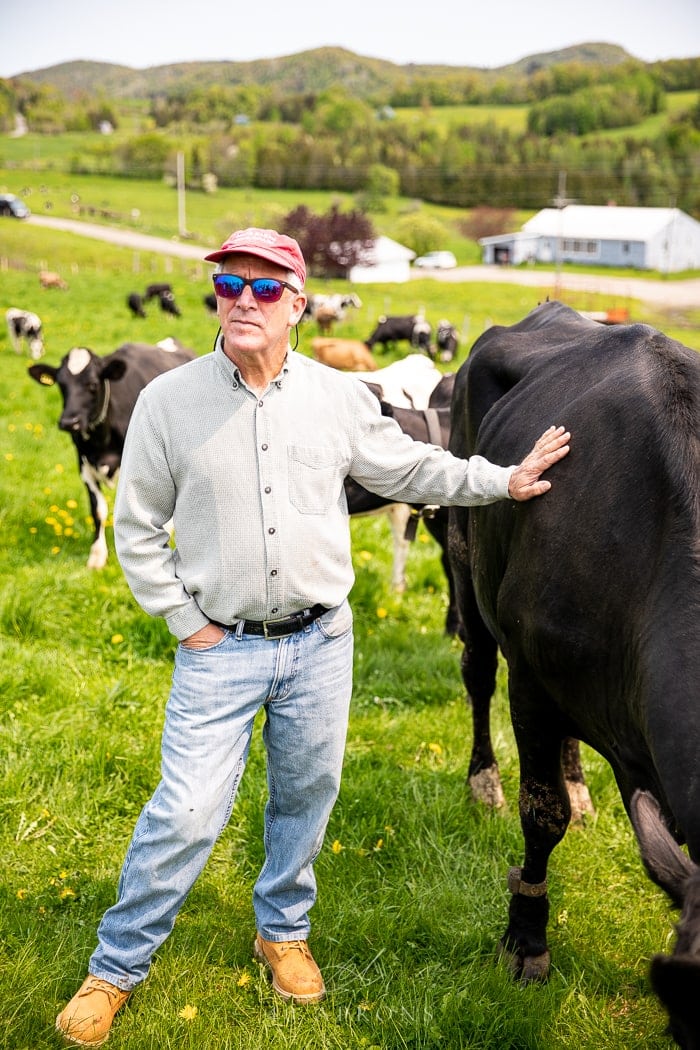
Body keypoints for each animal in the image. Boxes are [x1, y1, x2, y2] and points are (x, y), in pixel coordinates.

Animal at [28, 338, 196, 571]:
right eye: (61, 385)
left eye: (92, 384)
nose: (69, 422)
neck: (101, 442)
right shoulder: (84, 466)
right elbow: (98, 510)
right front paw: (97, 555)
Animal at [449, 300, 700, 1045]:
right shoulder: (531, 680)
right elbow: (541, 813)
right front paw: (527, 940)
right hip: (466, 561)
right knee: (477, 673)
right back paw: (483, 780)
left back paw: (585, 786)